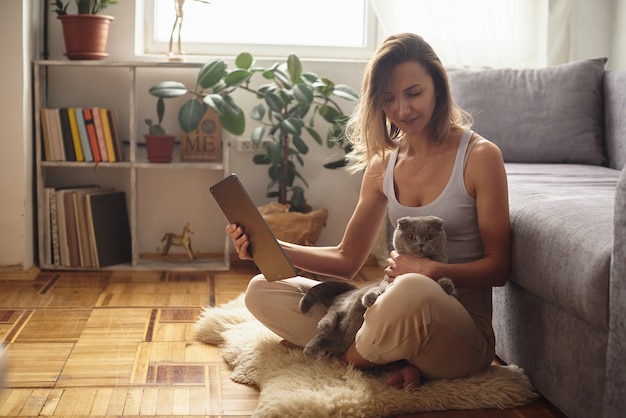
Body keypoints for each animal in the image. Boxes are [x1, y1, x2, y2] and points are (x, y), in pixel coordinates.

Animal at [298, 216, 454, 356]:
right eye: (411, 236)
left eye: (430, 236)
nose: (421, 244)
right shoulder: (387, 281)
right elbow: (377, 289)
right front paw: (369, 299)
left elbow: (442, 279)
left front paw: (447, 286)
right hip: (344, 306)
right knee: (332, 313)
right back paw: (323, 326)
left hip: (344, 339)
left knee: (330, 338)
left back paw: (311, 348)